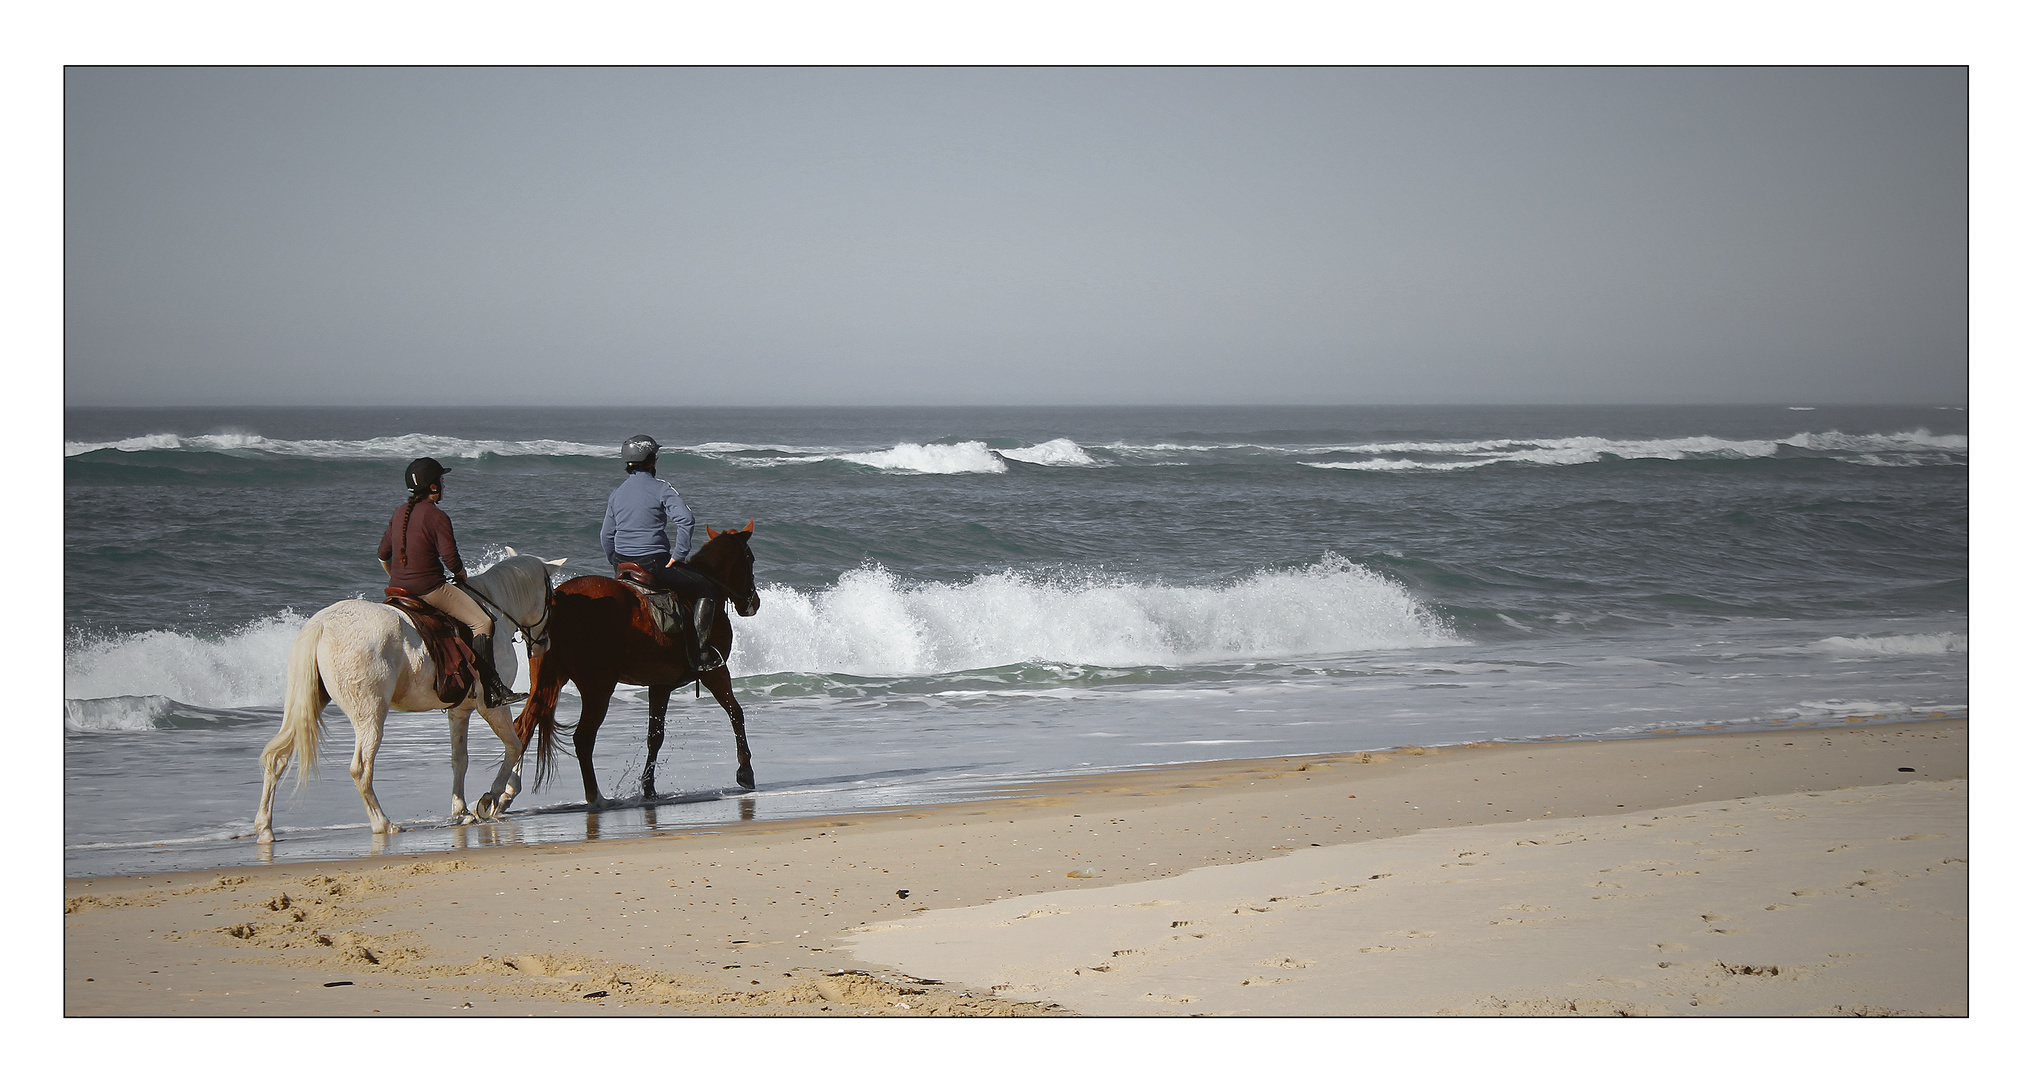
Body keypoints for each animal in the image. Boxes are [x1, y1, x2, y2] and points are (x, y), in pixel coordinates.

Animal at [260, 549, 573, 846]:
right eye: (552, 597)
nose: (544, 644)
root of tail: (322, 624)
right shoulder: (492, 707)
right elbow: (514, 745)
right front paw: (491, 799)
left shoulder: (460, 711)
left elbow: (460, 759)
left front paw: (461, 810)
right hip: (370, 714)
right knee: (361, 768)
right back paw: (383, 824)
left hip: (309, 705)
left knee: (277, 758)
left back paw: (265, 828)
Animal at [516, 520, 764, 805]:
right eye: (750, 559)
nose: (754, 603)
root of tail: (560, 598)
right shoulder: (715, 671)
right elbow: (736, 712)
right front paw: (745, 771)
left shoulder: (660, 685)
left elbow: (654, 737)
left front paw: (648, 788)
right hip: (598, 687)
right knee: (583, 738)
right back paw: (595, 796)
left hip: (546, 682)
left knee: (522, 727)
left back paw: (502, 795)